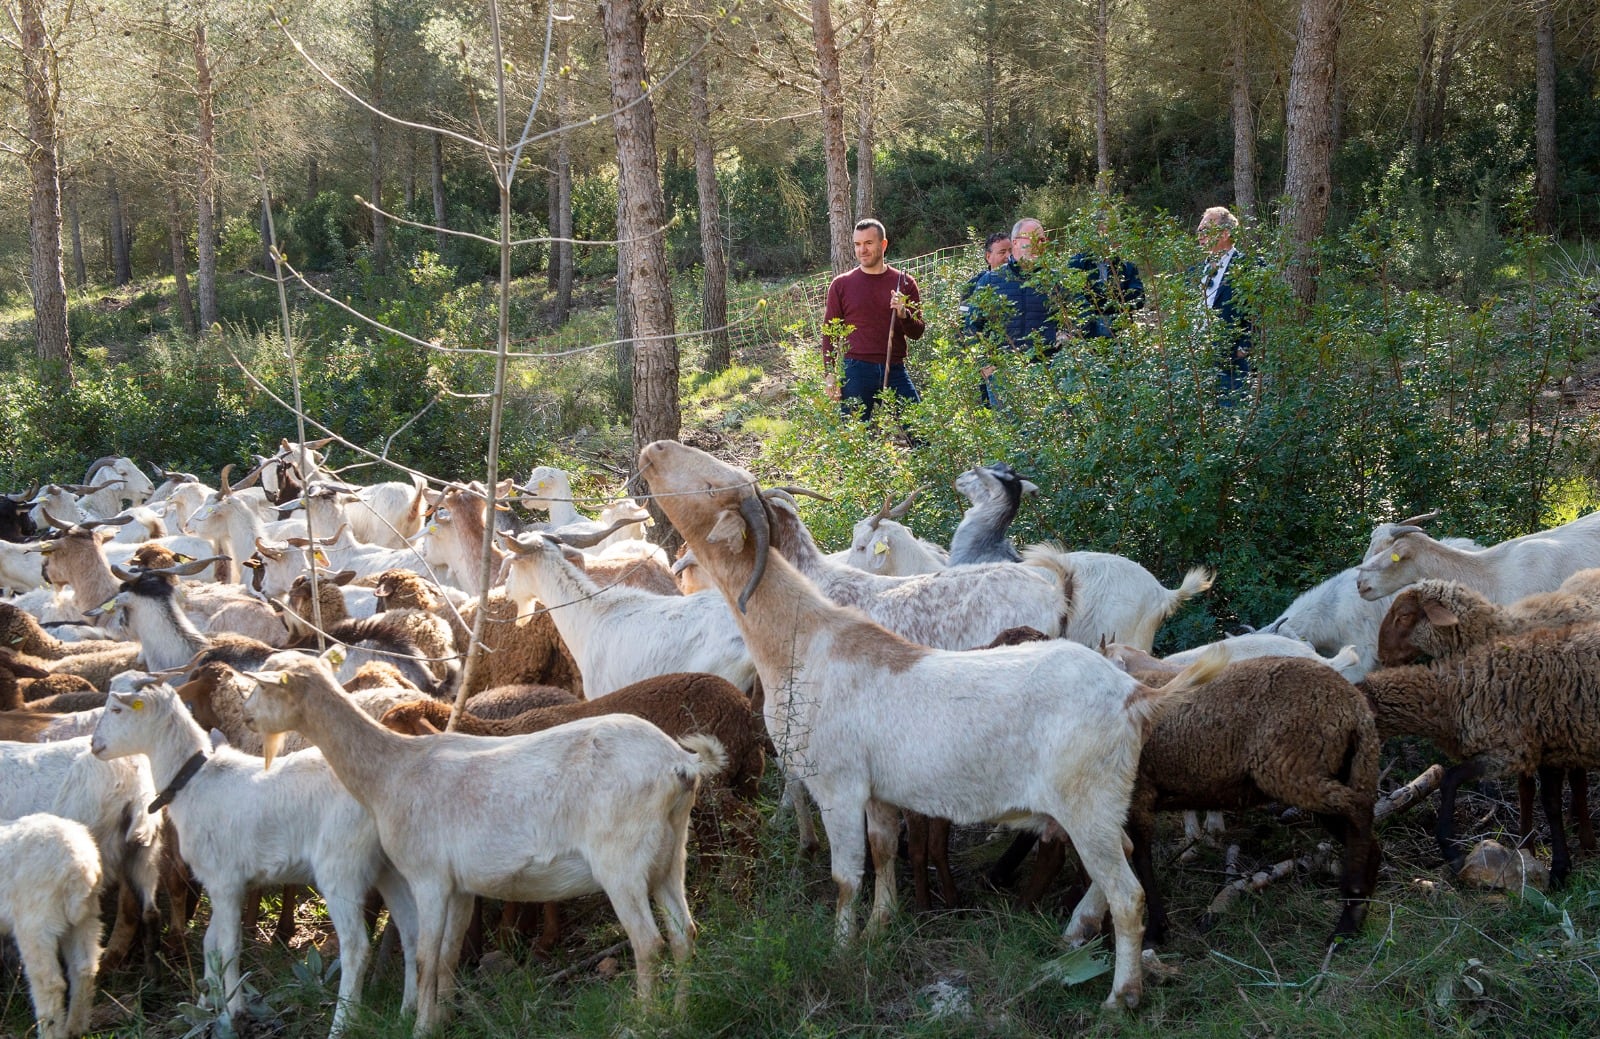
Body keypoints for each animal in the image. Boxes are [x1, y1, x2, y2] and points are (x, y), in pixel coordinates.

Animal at [0, 813, 103, 1039]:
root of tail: (80, 867)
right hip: (85, 916)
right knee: (85, 967)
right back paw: (76, 1026)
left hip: (36, 920)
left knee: (50, 983)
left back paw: (52, 1032)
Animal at [91, 682, 417, 1036]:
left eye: (117, 710)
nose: (94, 745)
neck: (193, 781)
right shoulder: (220, 883)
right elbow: (211, 943)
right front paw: (208, 1001)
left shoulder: (225, 880)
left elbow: (229, 947)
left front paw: (233, 1010)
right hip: (392, 870)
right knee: (413, 937)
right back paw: (406, 1013)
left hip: (341, 865)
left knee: (356, 947)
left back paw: (342, 1025)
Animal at [239, 653, 725, 1034]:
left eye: (262, 687)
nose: (244, 717)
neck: (390, 772)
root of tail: (680, 763)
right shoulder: (460, 887)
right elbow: (448, 957)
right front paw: (442, 1020)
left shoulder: (429, 878)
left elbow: (425, 959)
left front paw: (420, 1028)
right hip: (669, 855)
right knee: (684, 934)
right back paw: (682, 1015)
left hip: (621, 859)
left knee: (648, 943)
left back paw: (645, 1020)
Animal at [638, 438, 1229, 1010]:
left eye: (712, 483)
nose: (654, 450)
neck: (804, 641)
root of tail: (1134, 696)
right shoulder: (878, 792)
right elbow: (881, 853)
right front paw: (881, 926)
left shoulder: (838, 785)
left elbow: (845, 876)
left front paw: (842, 949)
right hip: (1103, 806)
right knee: (1122, 859)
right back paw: (1077, 929)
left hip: (1086, 804)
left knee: (1127, 893)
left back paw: (1121, 994)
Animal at [1358, 624, 1600, 884]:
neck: (1449, 697)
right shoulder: (1547, 747)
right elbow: (1551, 803)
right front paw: (1560, 865)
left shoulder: (1509, 750)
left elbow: (1450, 779)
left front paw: (1452, 852)